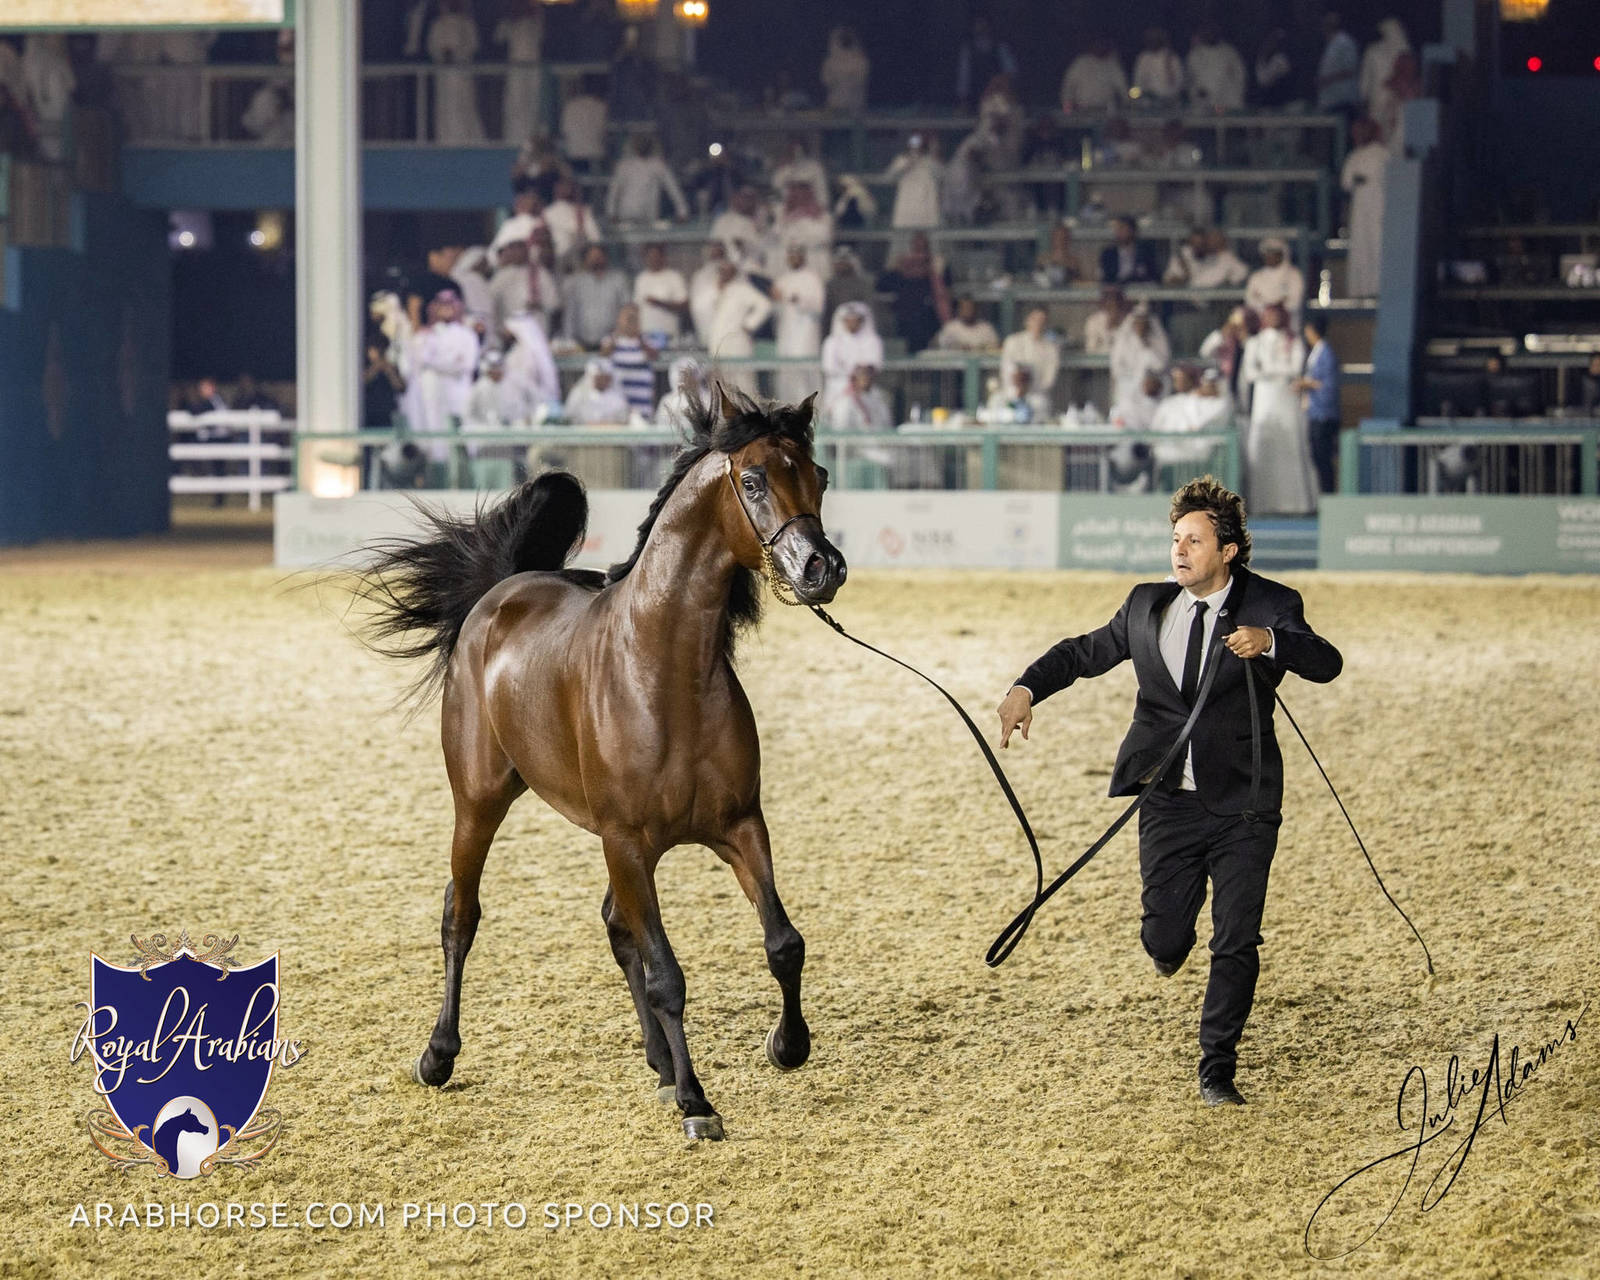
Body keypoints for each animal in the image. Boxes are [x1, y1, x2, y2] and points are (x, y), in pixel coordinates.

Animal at [357, 388, 847, 1140]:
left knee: (616, 924)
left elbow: (782, 942)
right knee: (460, 916)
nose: (822, 568)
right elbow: (667, 975)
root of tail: (500, 594)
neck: (665, 672)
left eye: (817, 473)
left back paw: (659, 1062)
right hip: (479, 805)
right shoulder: (629, 842)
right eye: (754, 479)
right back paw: (438, 1055)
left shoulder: (739, 826)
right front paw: (698, 1104)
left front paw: (785, 1045)